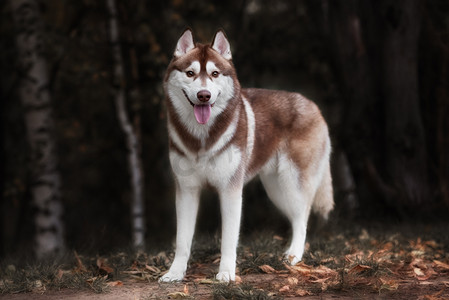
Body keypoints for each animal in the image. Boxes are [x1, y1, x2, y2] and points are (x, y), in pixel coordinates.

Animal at [158, 29, 332, 282]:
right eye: (190, 73)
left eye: (215, 73)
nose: (203, 95)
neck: (202, 138)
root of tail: (313, 105)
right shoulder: (187, 190)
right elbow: (182, 240)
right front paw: (175, 273)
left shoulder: (230, 191)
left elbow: (229, 240)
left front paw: (226, 273)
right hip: (276, 190)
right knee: (294, 217)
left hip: (293, 183)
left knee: (302, 220)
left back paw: (293, 256)